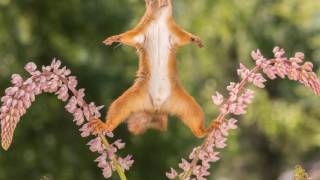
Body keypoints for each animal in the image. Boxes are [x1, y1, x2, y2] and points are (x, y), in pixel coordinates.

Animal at [89, 0, 210, 138]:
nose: (165, 1)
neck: (159, 20)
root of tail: (157, 108)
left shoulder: (175, 32)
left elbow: (184, 37)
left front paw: (195, 39)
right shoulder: (141, 31)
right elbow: (129, 36)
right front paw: (115, 38)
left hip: (187, 105)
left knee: (196, 123)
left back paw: (207, 129)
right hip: (130, 100)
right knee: (118, 110)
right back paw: (105, 125)